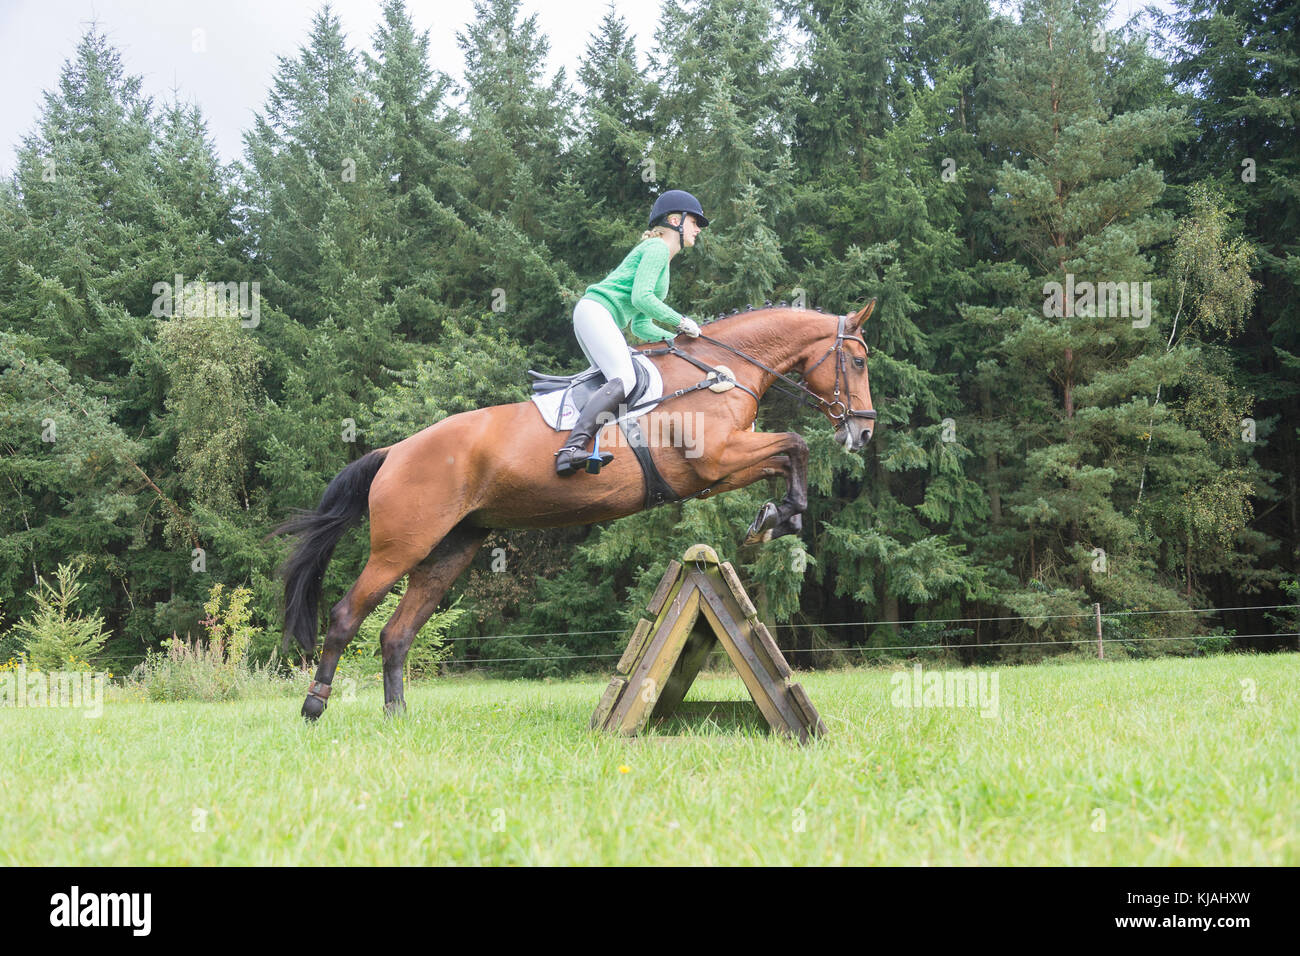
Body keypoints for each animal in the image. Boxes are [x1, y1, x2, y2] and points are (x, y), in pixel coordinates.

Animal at [278, 299, 878, 717]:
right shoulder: (715, 461)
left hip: (450, 549)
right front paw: (776, 518)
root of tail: (395, 451)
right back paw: (315, 704)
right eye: (856, 360)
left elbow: (790, 454)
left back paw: (398, 715)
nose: (864, 432)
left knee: (396, 633)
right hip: (401, 545)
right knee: (346, 616)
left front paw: (777, 518)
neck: (717, 372)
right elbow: (796, 444)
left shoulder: (721, 471)